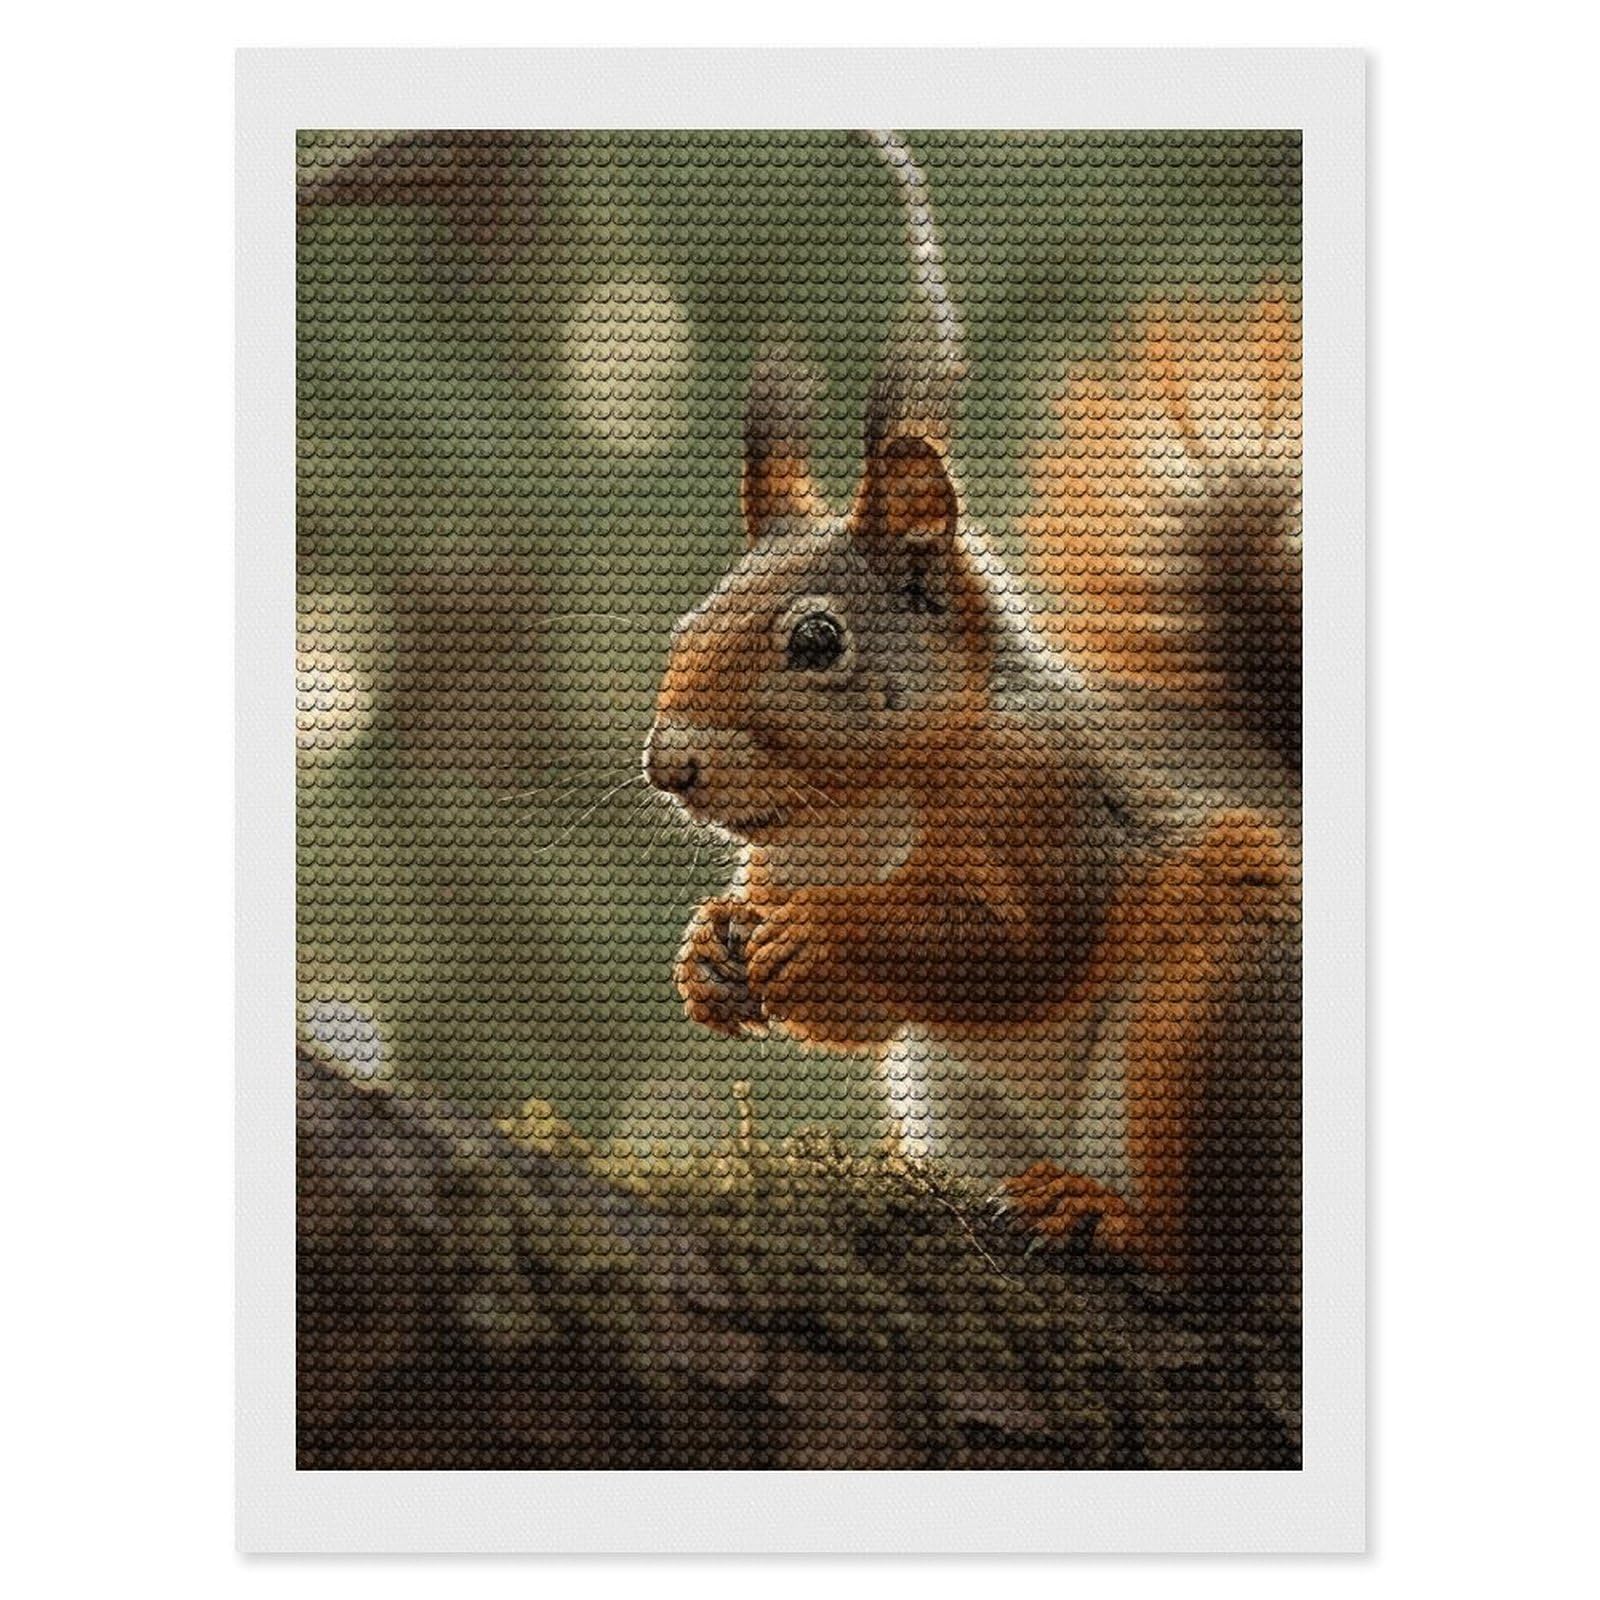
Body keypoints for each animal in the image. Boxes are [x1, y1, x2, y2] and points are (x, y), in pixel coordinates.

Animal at [643, 131, 1300, 1296]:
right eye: (686, 623)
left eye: (817, 641)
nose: (667, 764)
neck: (857, 809)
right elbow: (857, 1006)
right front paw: (705, 954)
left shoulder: (1046, 802)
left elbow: (1013, 937)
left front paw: (825, 930)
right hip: (948, 1090)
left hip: (1216, 1017)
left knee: (1226, 1257)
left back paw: (1118, 1221)